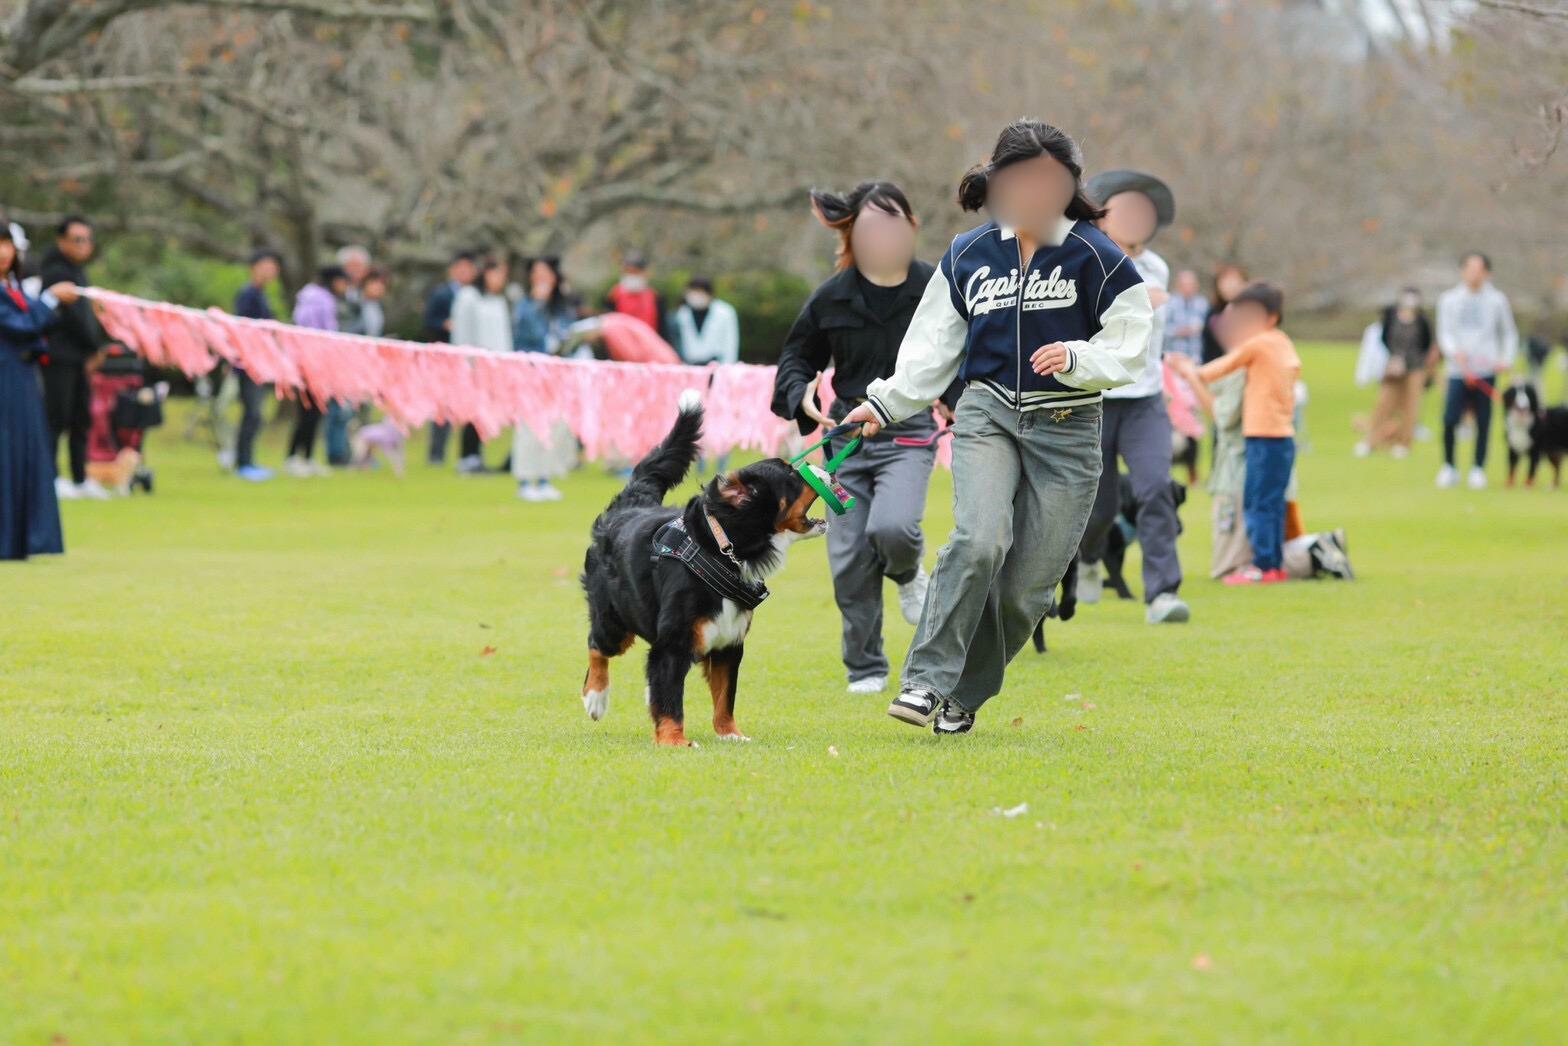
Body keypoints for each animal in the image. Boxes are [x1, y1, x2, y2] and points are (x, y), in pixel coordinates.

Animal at [577, 396, 827, 749]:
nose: (822, 468)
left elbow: (724, 696)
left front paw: (731, 734)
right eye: (792, 475)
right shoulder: (674, 641)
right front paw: (674, 740)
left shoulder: (729, 643)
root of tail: (631, 504)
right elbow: (672, 698)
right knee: (597, 645)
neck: (720, 551)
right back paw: (596, 698)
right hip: (615, 620)